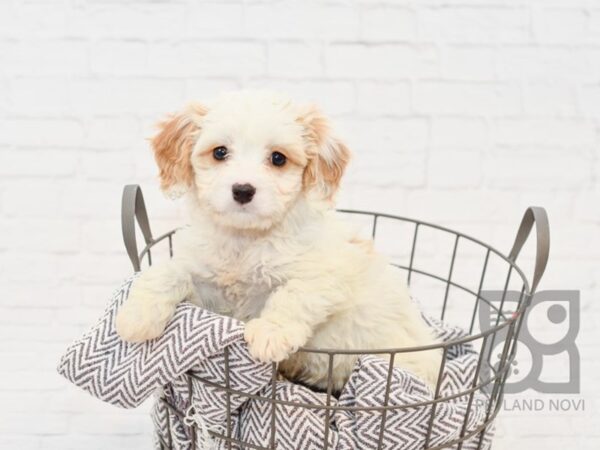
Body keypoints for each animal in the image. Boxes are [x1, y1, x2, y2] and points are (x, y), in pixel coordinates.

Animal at [115, 90, 440, 390]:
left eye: (278, 158)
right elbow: (168, 272)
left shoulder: (325, 277)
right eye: (219, 152)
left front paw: (270, 333)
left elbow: (293, 294)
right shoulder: (209, 296)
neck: (245, 240)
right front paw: (136, 315)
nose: (243, 190)